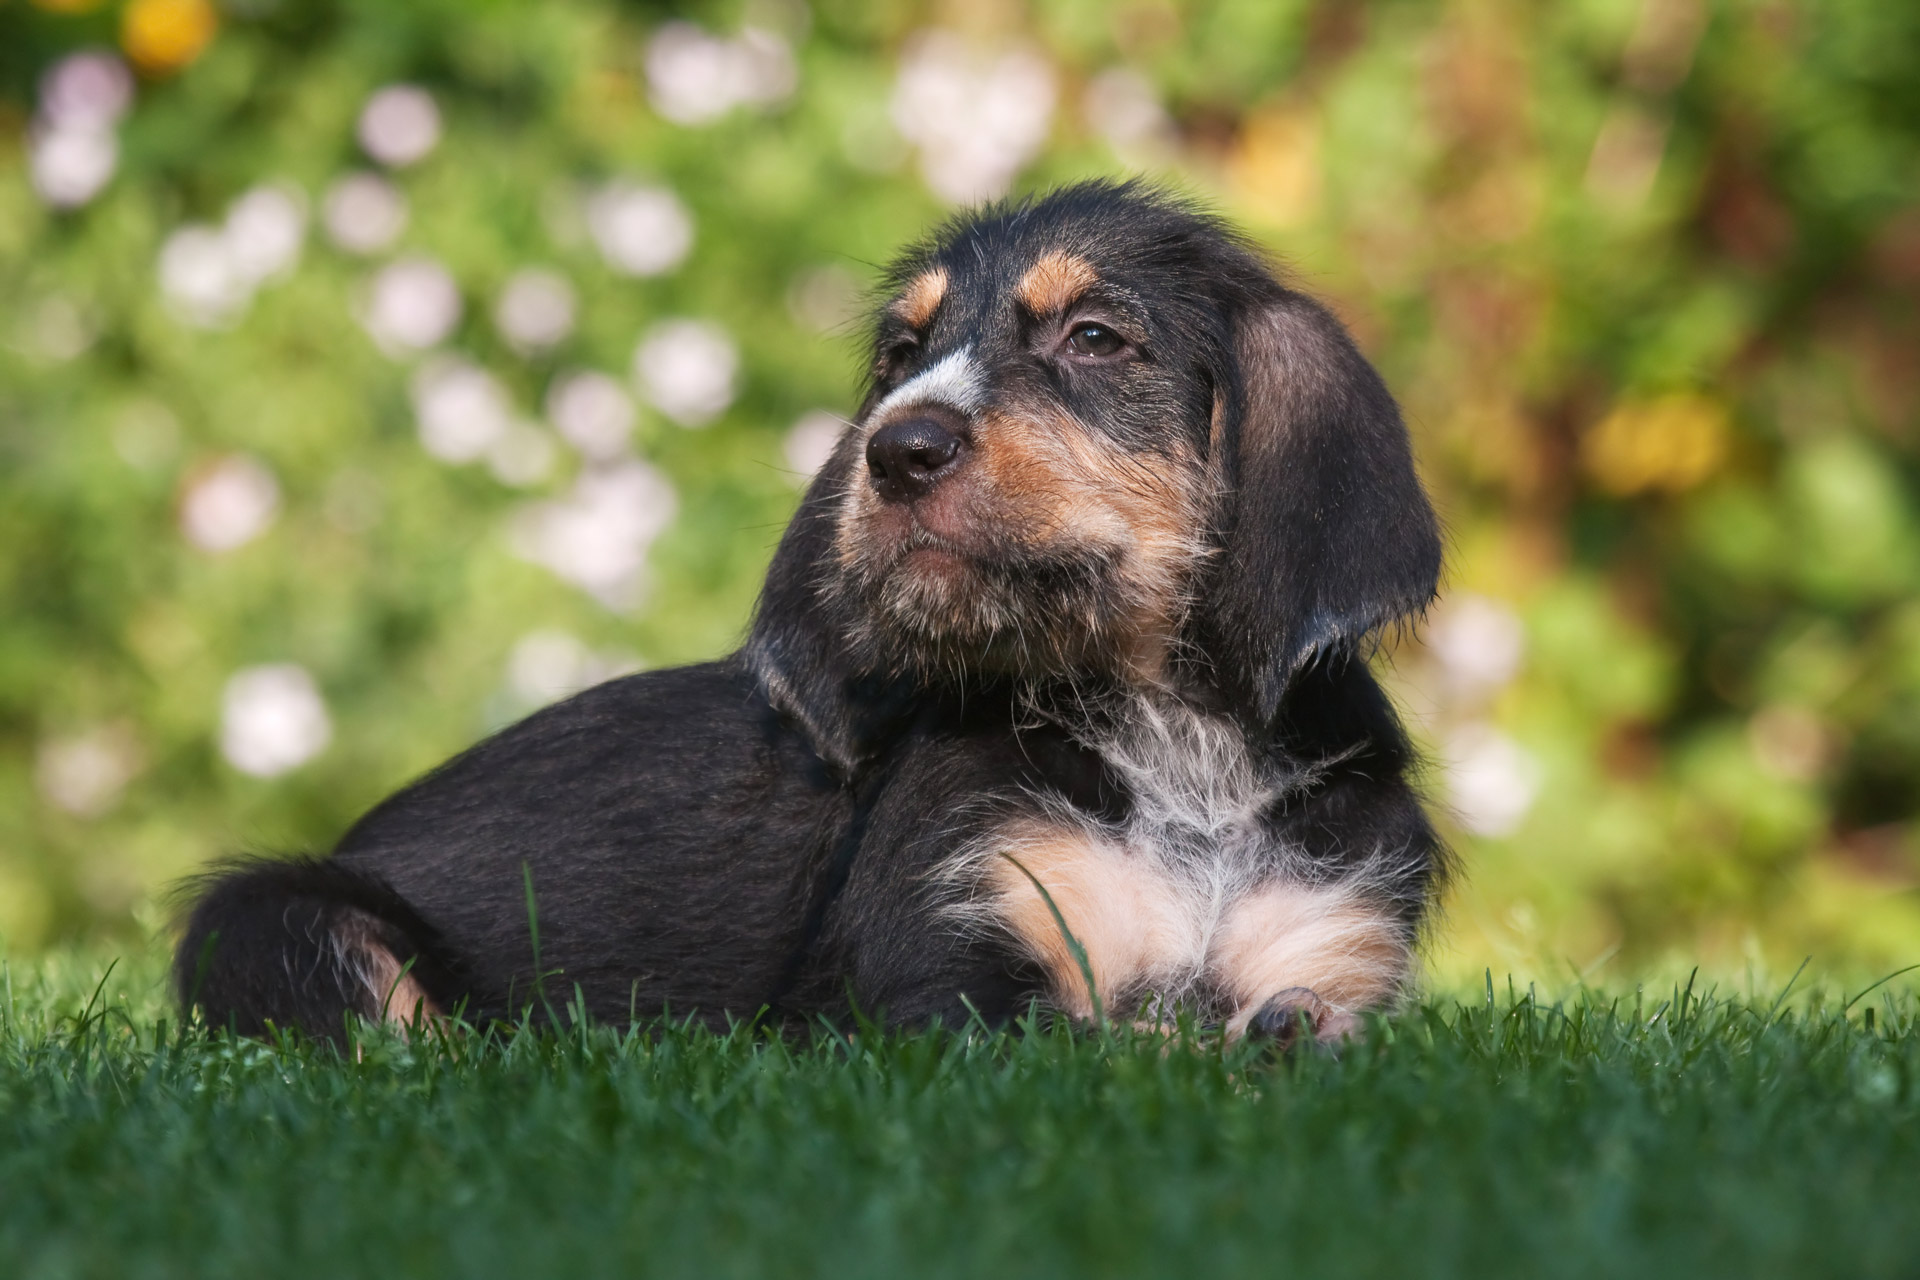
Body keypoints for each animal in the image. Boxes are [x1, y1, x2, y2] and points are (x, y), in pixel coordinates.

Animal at [176, 188, 1443, 1051]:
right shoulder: (928, 990)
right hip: (271, 918)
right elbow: (1101, 1037)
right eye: (903, 353)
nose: (899, 448)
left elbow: (1294, 1022)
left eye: (1094, 337)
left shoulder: (1331, 949)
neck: (1170, 733)